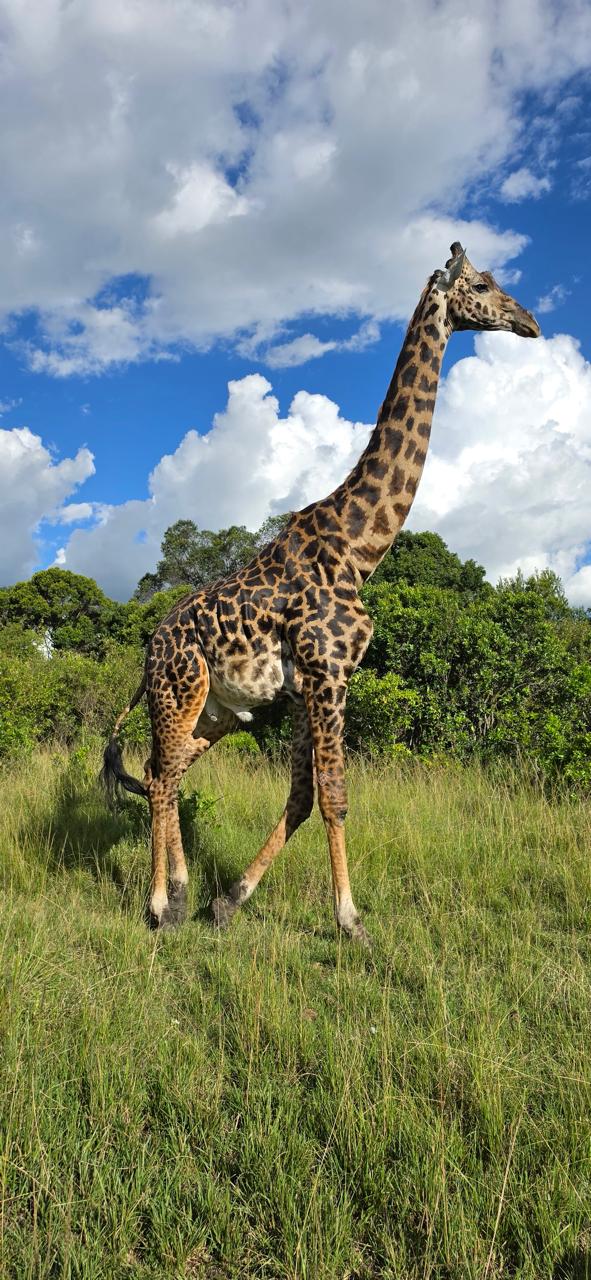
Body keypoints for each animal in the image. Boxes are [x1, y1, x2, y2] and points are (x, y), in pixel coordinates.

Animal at [101, 243, 540, 943]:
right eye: (481, 285)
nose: (531, 322)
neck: (360, 549)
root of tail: (149, 650)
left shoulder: (312, 683)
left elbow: (304, 794)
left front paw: (230, 901)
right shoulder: (329, 671)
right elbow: (335, 793)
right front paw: (350, 920)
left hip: (217, 712)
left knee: (161, 771)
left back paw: (183, 891)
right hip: (179, 691)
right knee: (163, 774)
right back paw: (159, 904)